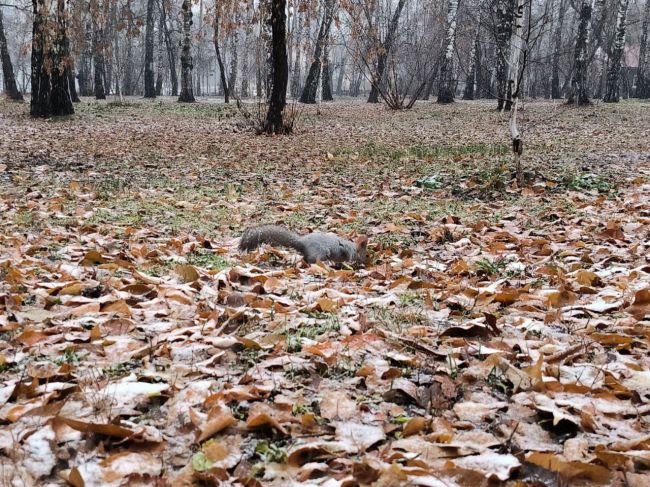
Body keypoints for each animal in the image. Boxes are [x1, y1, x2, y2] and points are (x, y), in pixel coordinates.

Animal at [239, 226, 370, 266]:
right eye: (366, 254)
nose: (365, 263)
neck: (353, 248)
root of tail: (302, 242)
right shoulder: (346, 249)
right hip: (320, 252)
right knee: (311, 259)